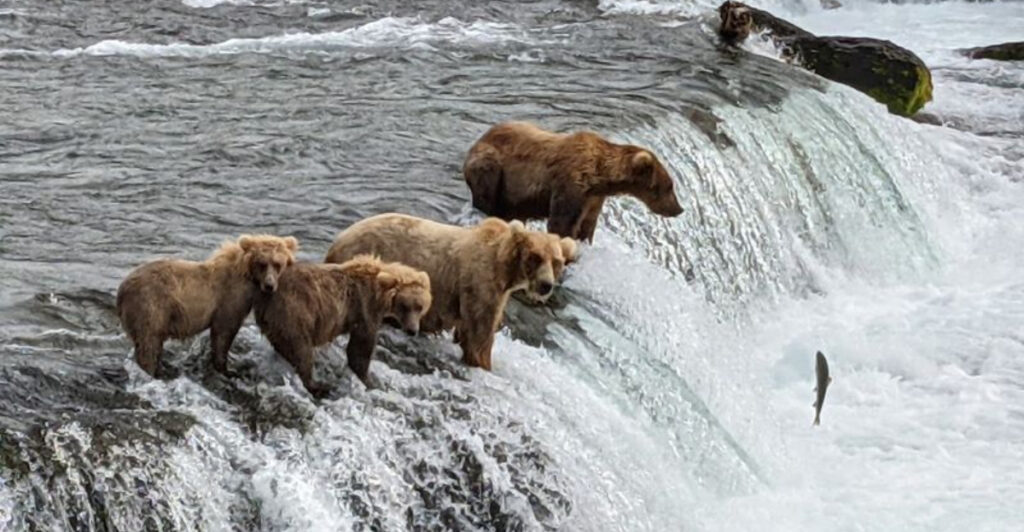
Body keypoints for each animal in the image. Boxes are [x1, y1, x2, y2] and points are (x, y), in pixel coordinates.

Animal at [116, 234, 298, 377]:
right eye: (262, 263)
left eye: (278, 264)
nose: (269, 285)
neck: (247, 277)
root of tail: (122, 288)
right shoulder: (228, 300)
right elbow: (223, 333)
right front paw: (227, 370)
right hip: (151, 305)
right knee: (149, 343)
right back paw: (150, 371)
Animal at [252, 255, 431, 396]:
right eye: (405, 306)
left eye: (420, 307)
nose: (412, 330)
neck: (382, 294)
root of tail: (264, 299)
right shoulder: (364, 308)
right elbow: (361, 348)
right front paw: (369, 381)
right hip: (294, 313)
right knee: (302, 351)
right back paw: (319, 386)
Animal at [324, 213, 576, 371]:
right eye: (535, 257)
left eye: (556, 261)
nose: (546, 285)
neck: (505, 270)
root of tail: (338, 240)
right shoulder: (480, 284)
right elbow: (480, 335)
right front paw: (483, 362)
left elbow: (467, 331)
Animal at [462, 121, 684, 242]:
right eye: (669, 186)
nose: (679, 209)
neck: (599, 177)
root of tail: (478, 141)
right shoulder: (571, 184)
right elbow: (561, 223)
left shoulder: (594, 199)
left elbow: (587, 225)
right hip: (492, 167)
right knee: (487, 194)